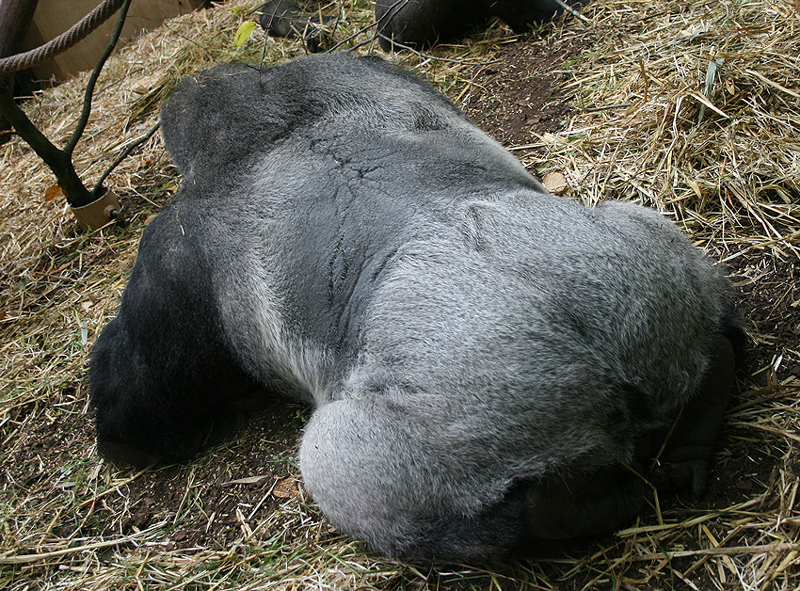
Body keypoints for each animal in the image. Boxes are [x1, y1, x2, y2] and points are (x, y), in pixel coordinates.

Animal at [89, 52, 744, 564]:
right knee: (674, 271)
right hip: (645, 275)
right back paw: (705, 397)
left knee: (338, 465)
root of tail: (615, 373)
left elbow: (130, 414)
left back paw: (554, 518)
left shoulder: (172, 247)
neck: (247, 123)